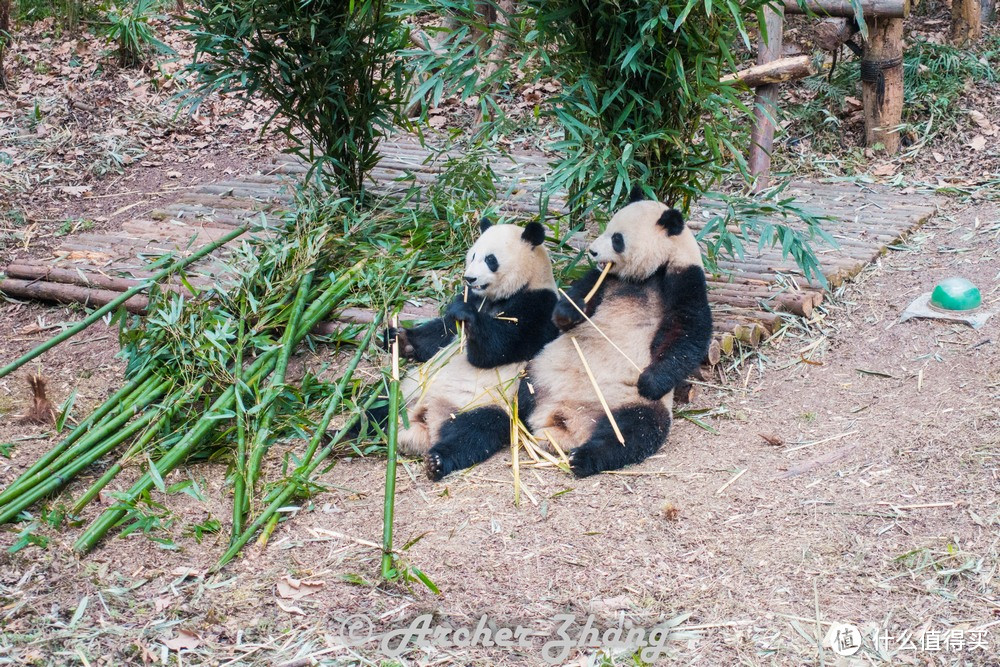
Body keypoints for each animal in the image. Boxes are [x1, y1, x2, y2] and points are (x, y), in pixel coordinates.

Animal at [520, 188, 716, 478]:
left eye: (617, 239)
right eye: (607, 229)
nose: (592, 251)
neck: (648, 274)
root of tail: (566, 422)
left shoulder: (685, 277)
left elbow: (688, 331)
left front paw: (650, 381)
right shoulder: (605, 279)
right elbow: (582, 293)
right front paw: (566, 315)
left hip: (630, 404)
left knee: (632, 433)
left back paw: (584, 459)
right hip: (542, 371)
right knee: (519, 395)